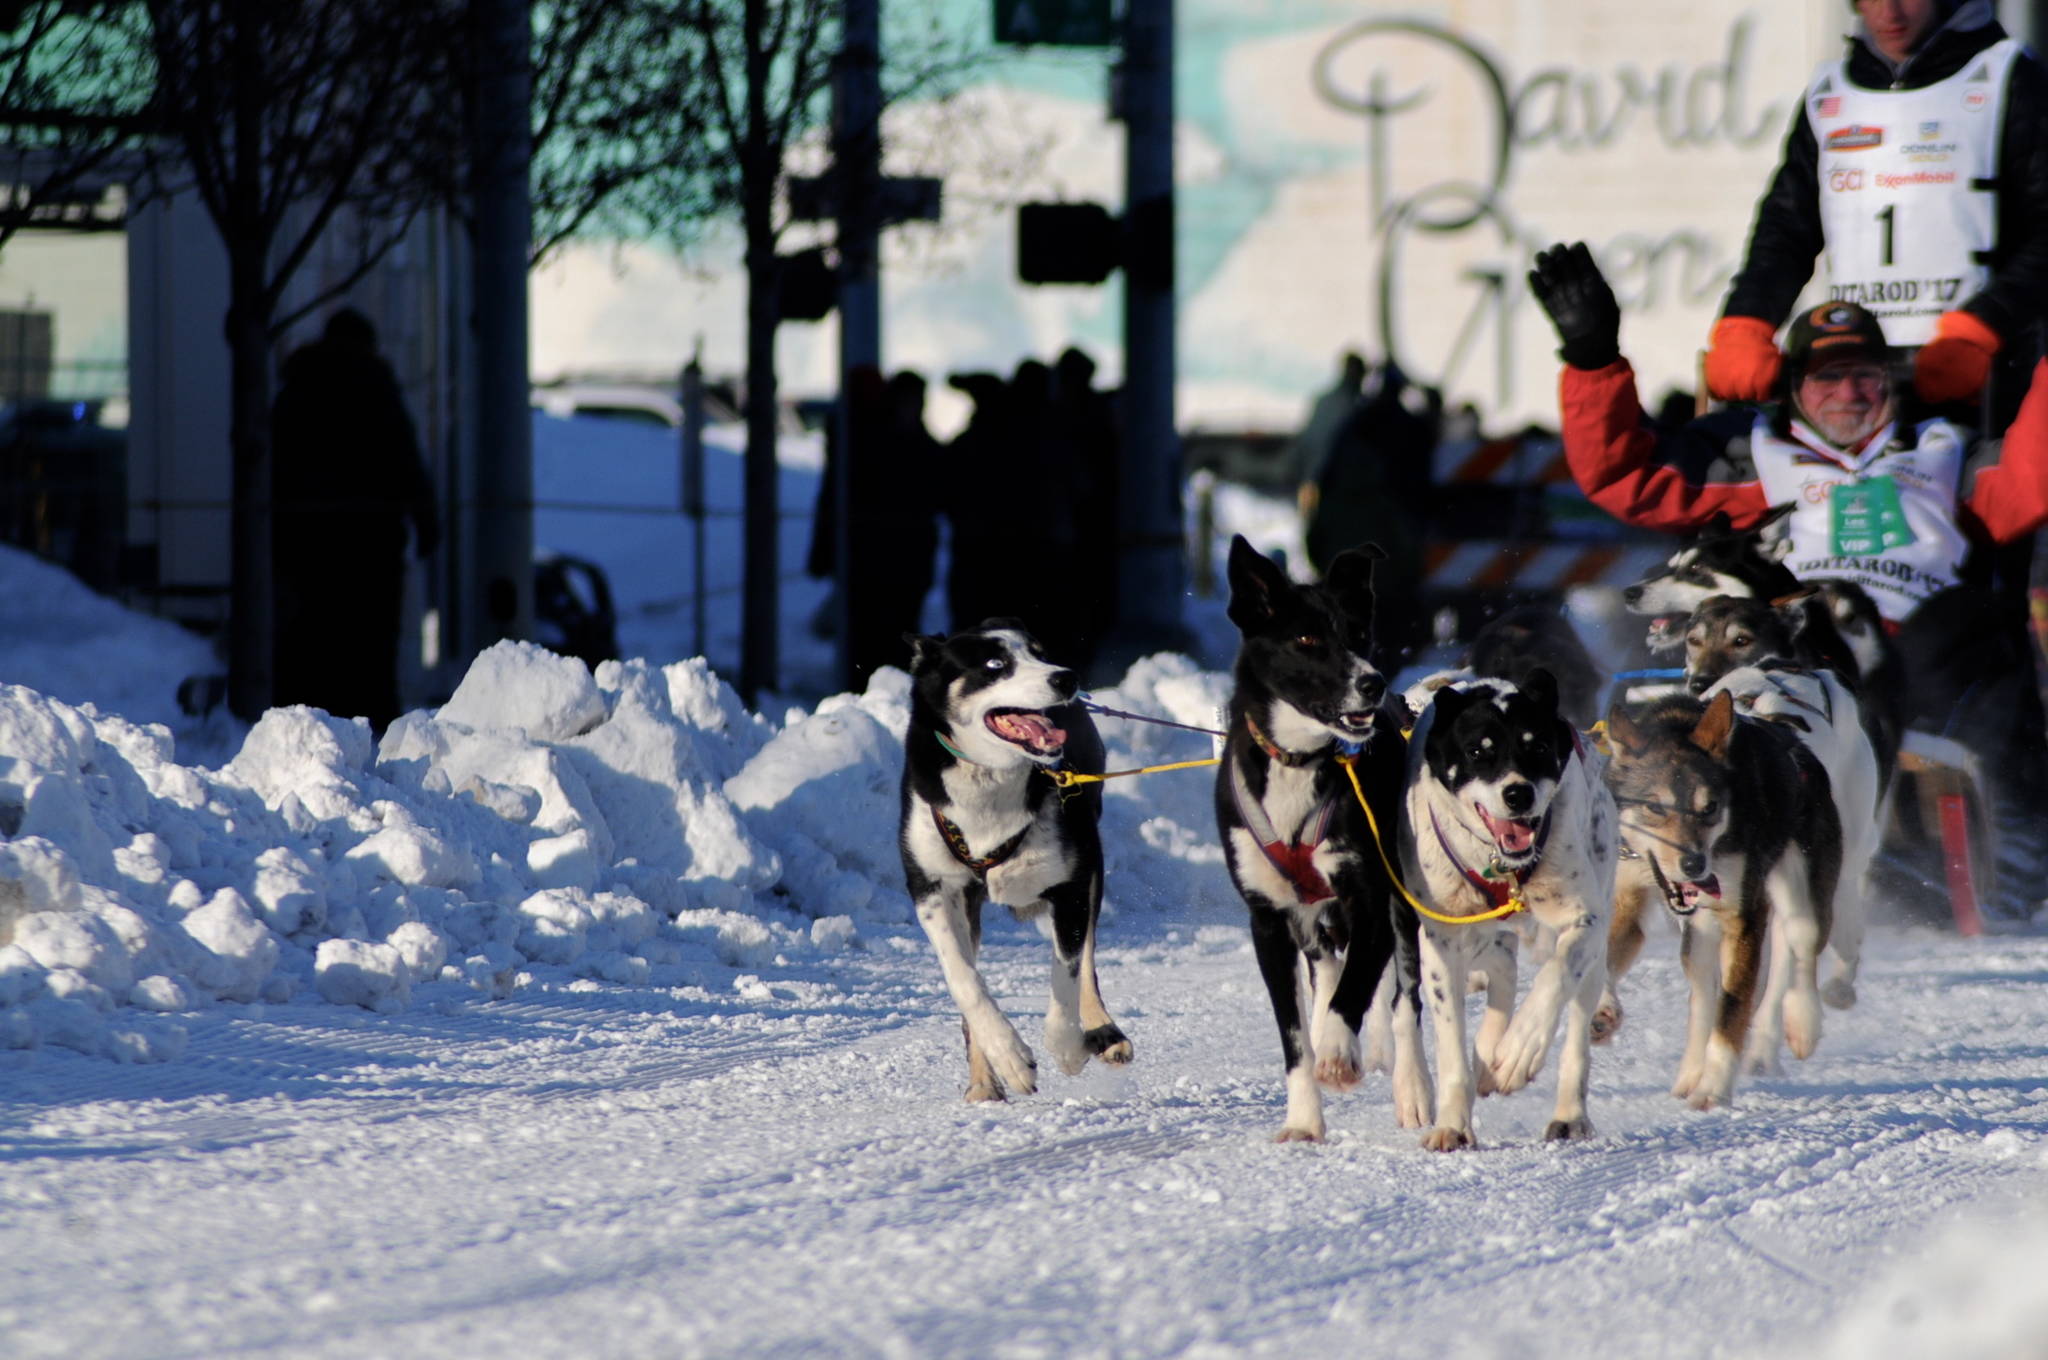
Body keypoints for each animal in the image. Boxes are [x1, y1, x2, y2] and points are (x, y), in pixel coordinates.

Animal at [905, 622, 1138, 1097]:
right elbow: (965, 979)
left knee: (1086, 961)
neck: (988, 786)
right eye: (996, 664)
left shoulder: (1070, 885)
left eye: (1040, 653)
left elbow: (1067, 973)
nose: (1065, 677)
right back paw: (983, 1081)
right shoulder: (930, 888)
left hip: (1090, 867)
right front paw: (1007, 1055)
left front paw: (1067, 1047)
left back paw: (1102, 1031)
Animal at [1204, 536, 1433, 1138]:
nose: (1372, 682)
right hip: (1310, 916)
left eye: (1358, 634)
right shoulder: (1267, 922)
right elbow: (1294, 1036)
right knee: (1327, 966)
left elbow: (1356, 993)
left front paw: (1337, 1051)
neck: (1298, 760)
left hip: (1402, 903)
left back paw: (1411, 1088)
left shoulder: (1372, 901)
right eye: (1307, 639)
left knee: (1403, 1003)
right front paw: (1305, 1119)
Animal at [1409, 667, 1613, 1146]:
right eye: (1476, 751)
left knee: (1575, 1022)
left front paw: (1520, 1050)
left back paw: (1568, 1112)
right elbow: (1450, 1042)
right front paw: (1452, 1125)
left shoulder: (1585, 920)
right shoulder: (1442, 939)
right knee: (1502, 972)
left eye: (1536, 746)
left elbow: (1553, 979)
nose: (1518, 794)